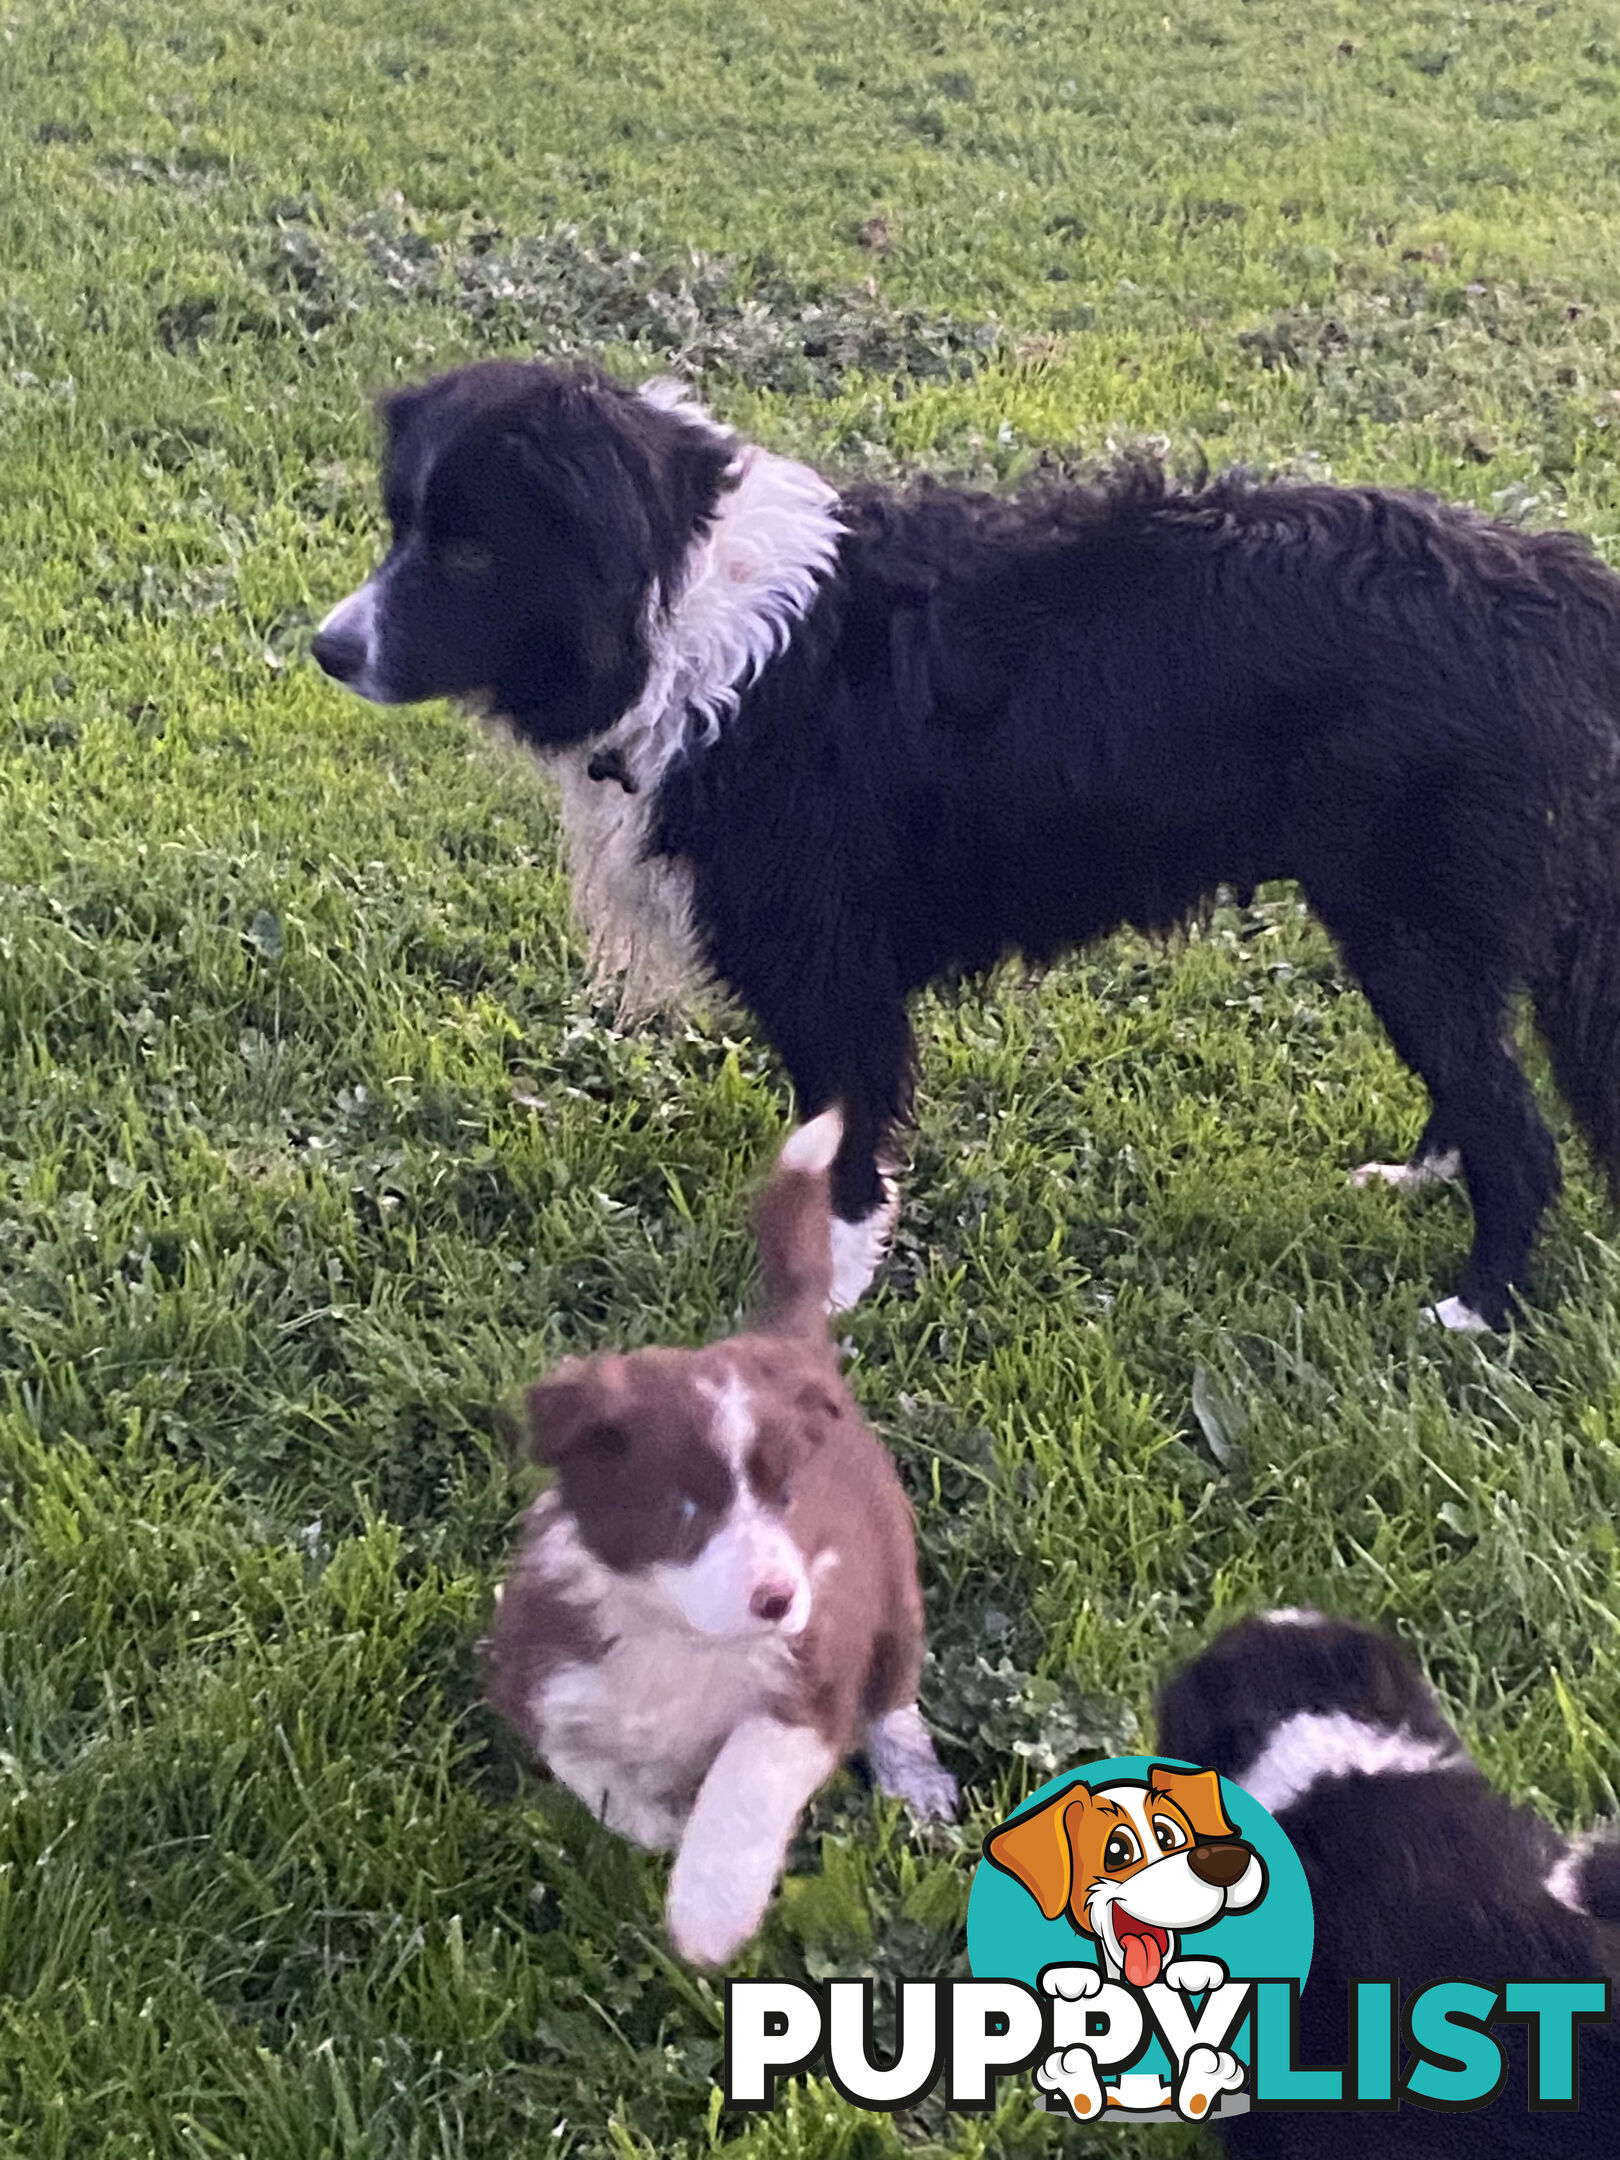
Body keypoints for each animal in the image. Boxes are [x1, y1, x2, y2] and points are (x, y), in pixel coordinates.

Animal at [311, 362, 1620, 1321]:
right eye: (399, 527)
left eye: (471, 550)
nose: (327, 648)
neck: (683, 623)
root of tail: (1550, 582)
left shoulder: (831, 968)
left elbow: (845, 1141)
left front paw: (823, 1300)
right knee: (1476, 1087)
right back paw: (1422, 1182)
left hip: (1413, 922)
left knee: (1518, 1127)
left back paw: (1477, 1310)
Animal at [481, 1114, 963, 1978]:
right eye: (684, 1507)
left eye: (788, 1498)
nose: (776, 1597)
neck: (682, 1639)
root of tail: (787, 1342)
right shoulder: (539, 1677)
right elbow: (597, 1777)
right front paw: (658, 1820)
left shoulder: (813, 1667)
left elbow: (746, 1780)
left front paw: (708, 1916)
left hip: (893, 1574)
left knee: (895, 1688)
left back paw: (914, 1780)